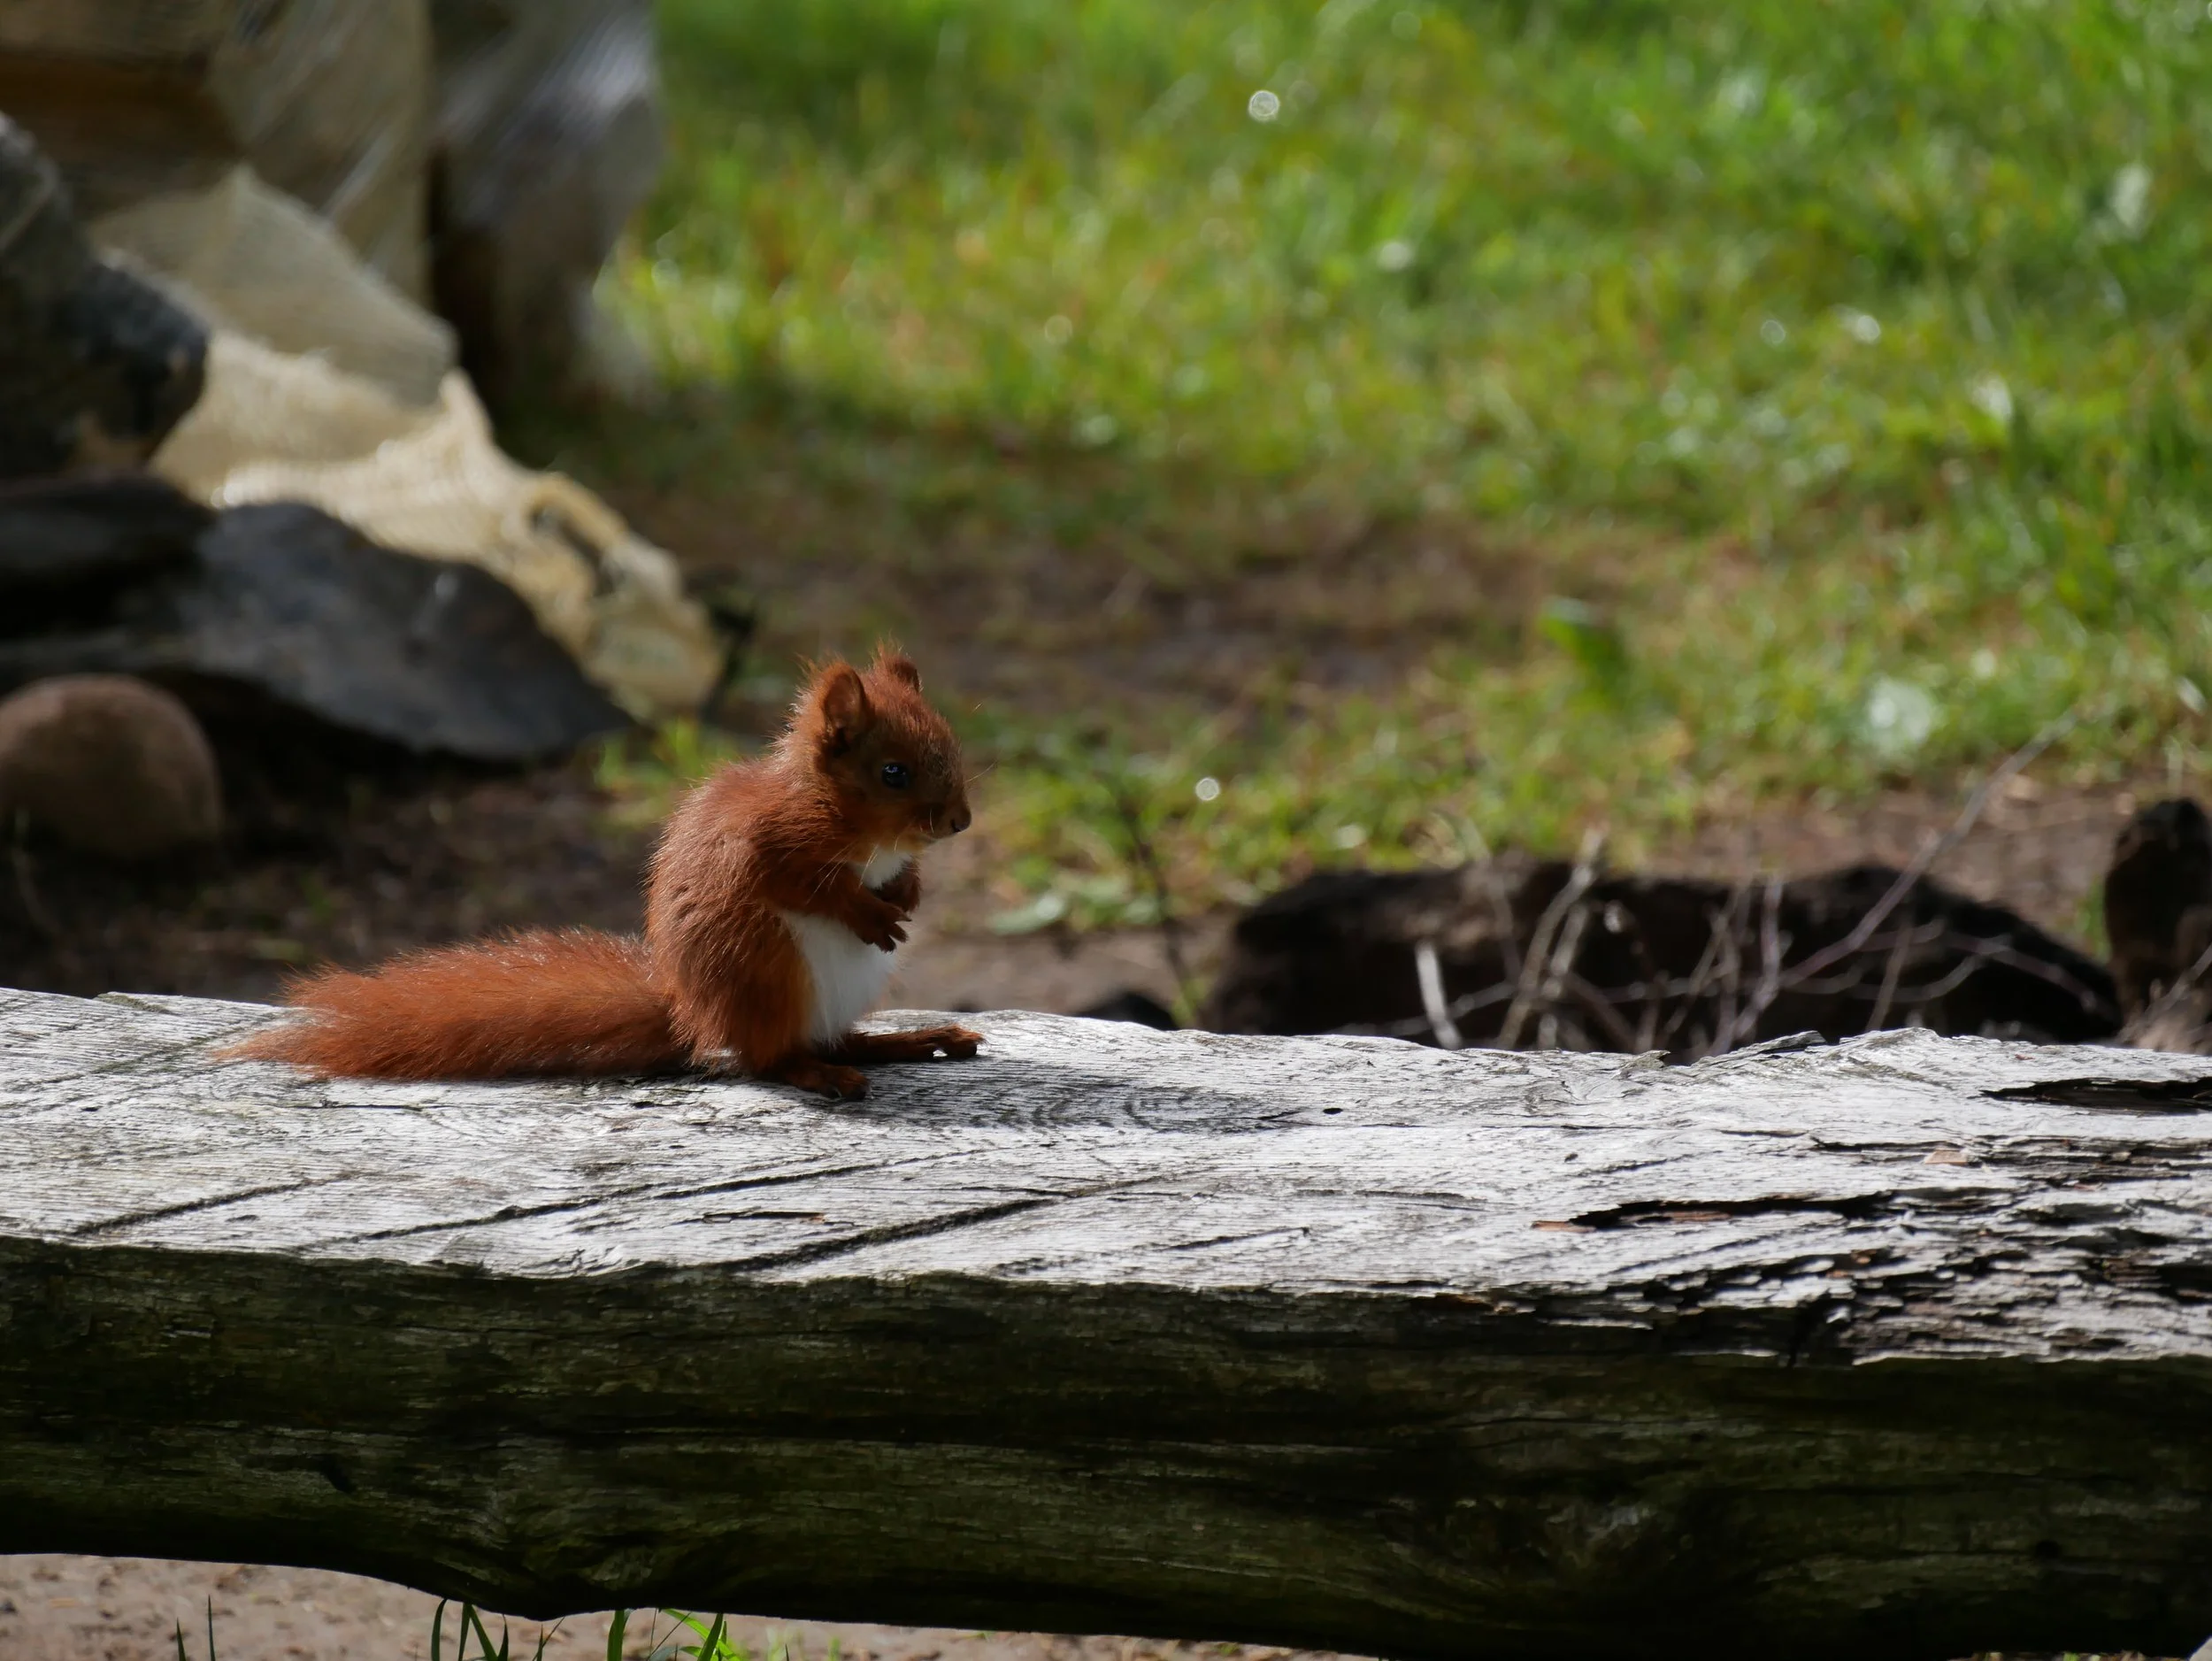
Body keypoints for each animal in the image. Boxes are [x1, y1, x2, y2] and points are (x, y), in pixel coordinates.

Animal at [227, 644, 980, 1099]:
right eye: (893, 772)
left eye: (950, 741)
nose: (961, 822)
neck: (844, 815)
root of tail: (693, 1012)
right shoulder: (762, 841)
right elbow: (803, 884)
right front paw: (868, 909)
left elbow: (896, 878)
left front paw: (907, 891)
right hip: (765, 973)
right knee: (770, 1056)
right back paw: (823, 1071)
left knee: (837, 1036)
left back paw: (913, 1041)